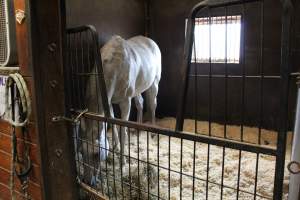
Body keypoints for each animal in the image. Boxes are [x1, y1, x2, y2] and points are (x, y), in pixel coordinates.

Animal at [82, 35, 162, 170]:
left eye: (96, 154)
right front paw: (116, 147)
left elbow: (123, 130)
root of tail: (151, 41)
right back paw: (138, 128)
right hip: (137, 89)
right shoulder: (108, 102)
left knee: (153, 105)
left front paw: (123, 161)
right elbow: (112, 122)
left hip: (154, 83)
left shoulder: (125, 102)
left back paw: (153, 131)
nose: (88, 177)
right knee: (140, 103)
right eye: (82, 152)